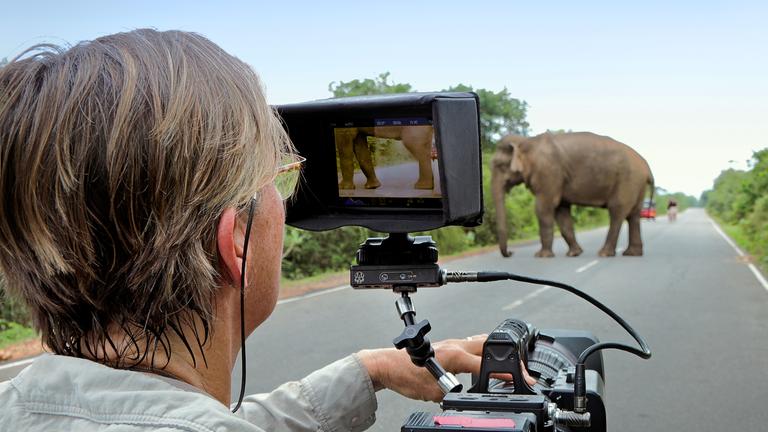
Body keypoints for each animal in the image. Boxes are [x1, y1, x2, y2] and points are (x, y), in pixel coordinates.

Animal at [491, 132, 654, 258]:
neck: (527, 141)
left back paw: (604, 254)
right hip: (637, 184)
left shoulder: (548, 173)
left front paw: (541, 256)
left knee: (617, 211)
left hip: (627, 180)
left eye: (499, 165)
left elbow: (543, 208)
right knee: (634, 215)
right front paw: (574, 254)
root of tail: (646, 166)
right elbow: (561, 211)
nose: (511, 253)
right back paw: (631, 253)